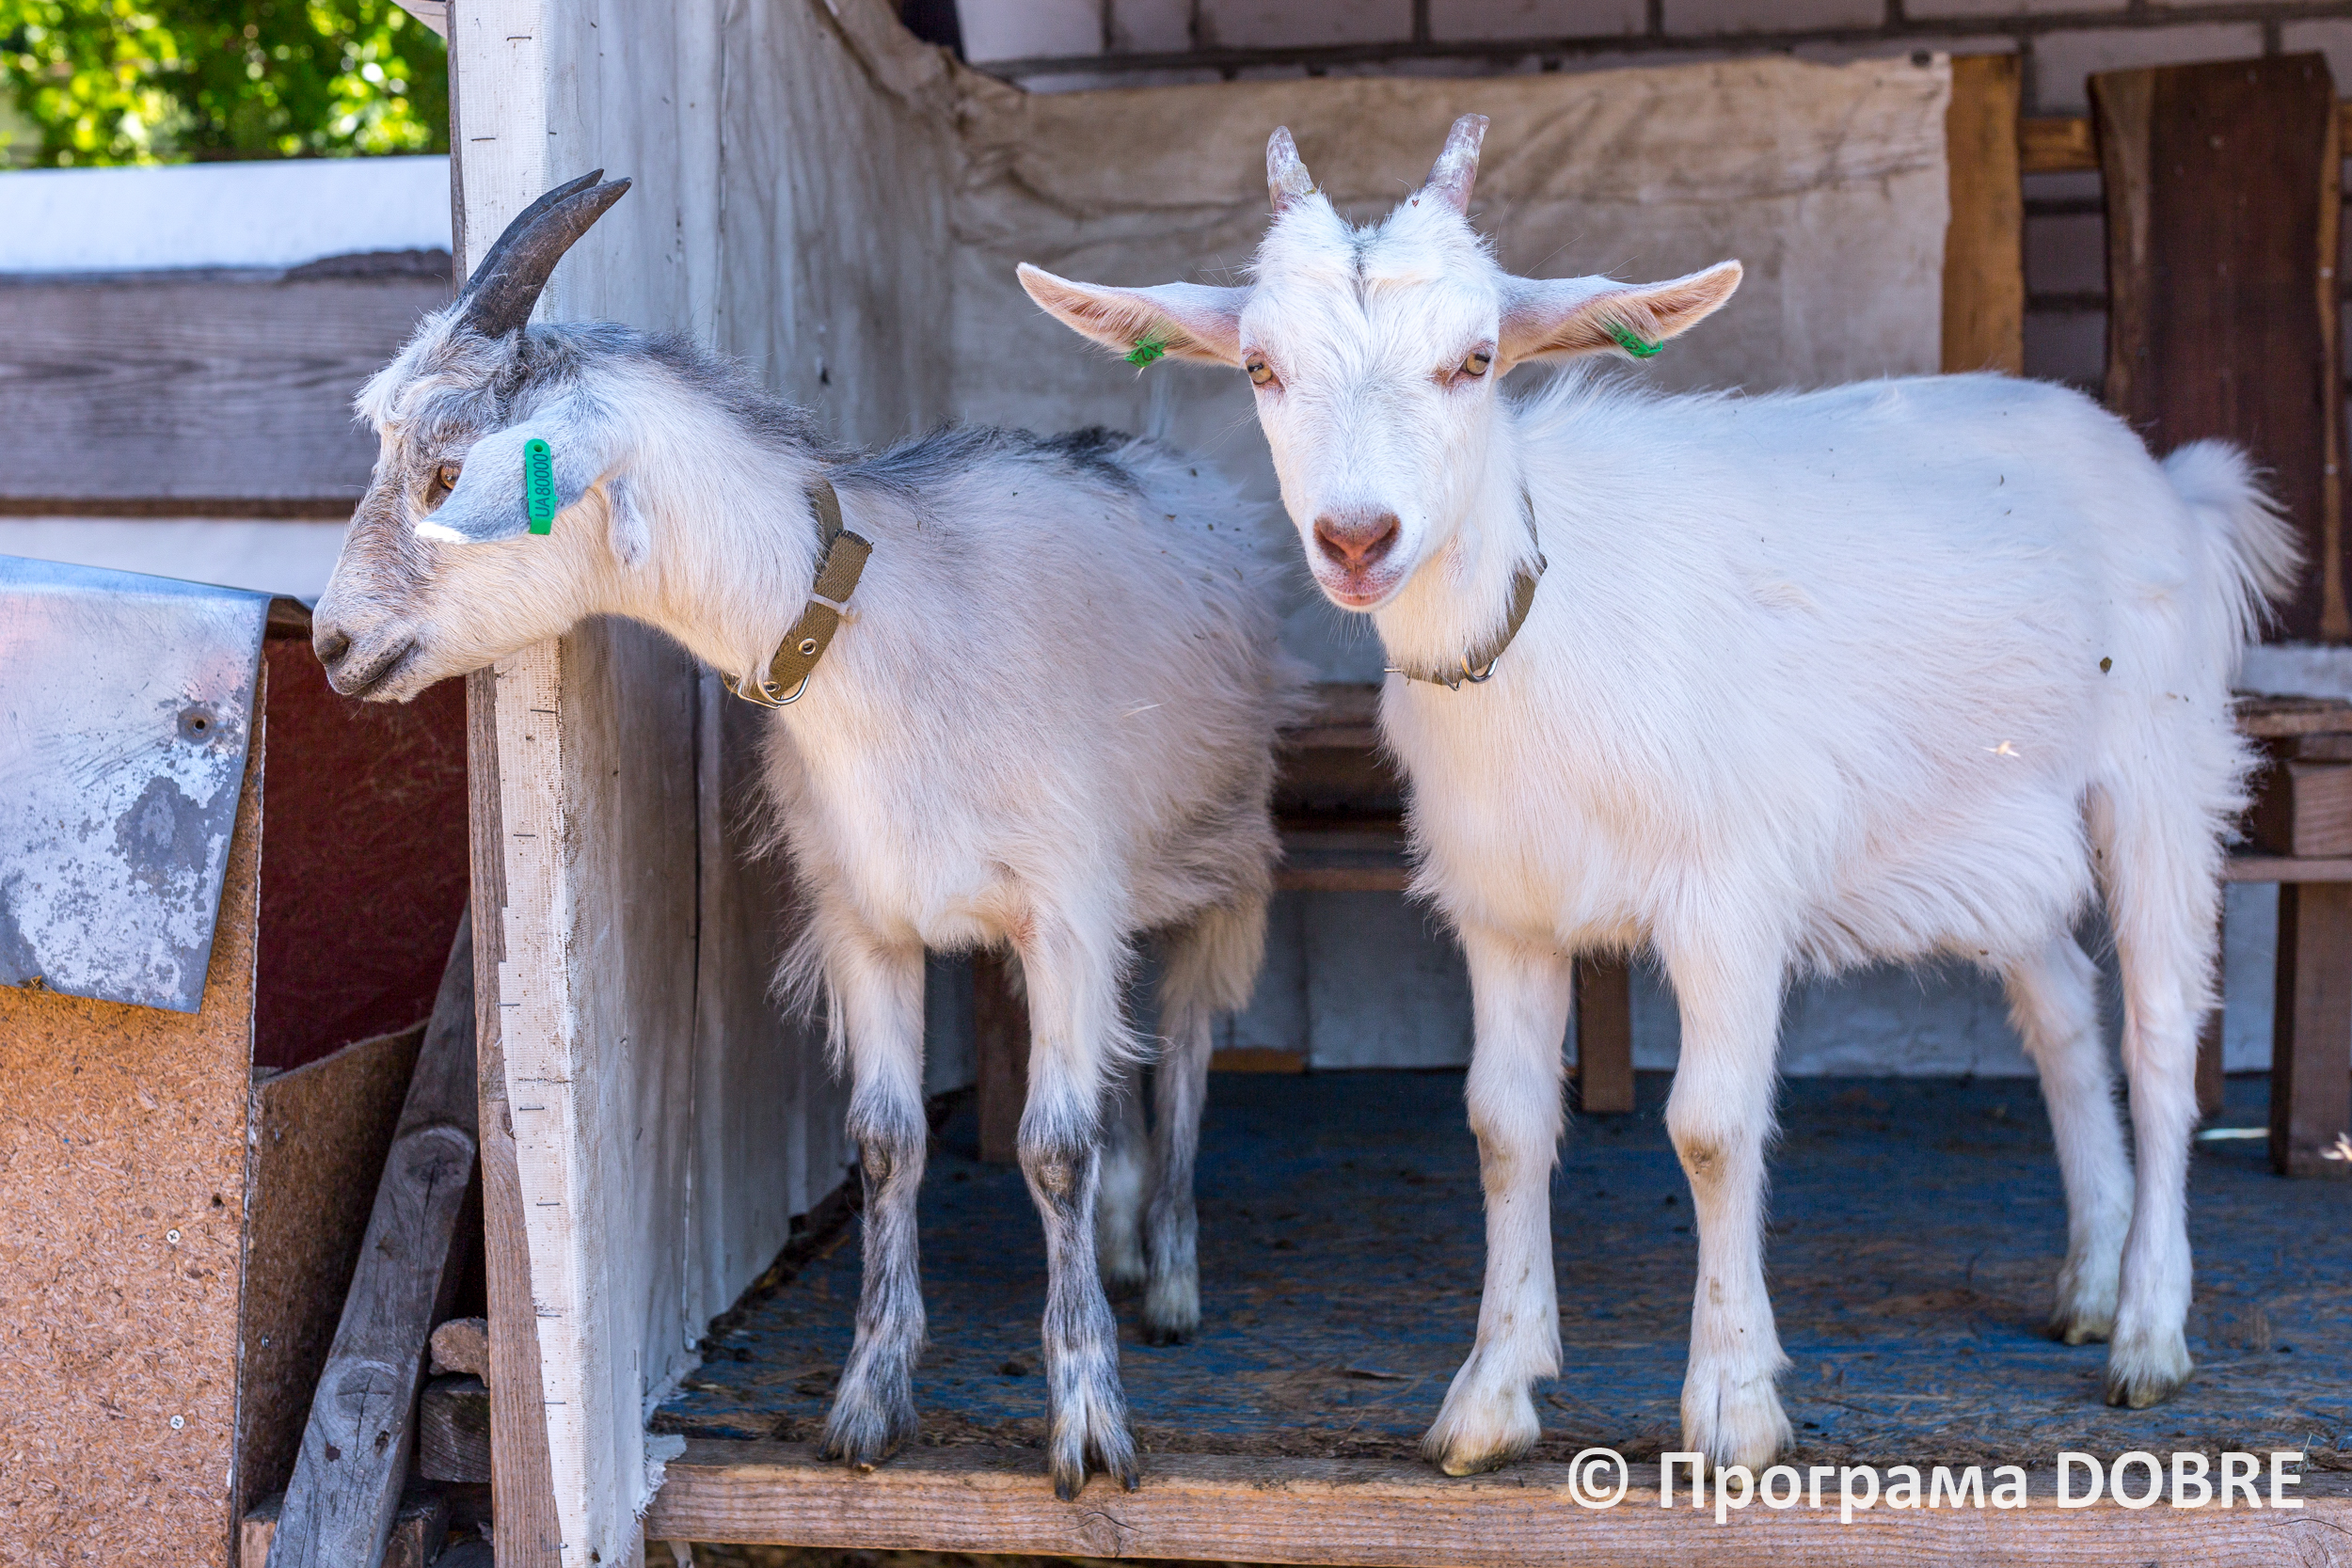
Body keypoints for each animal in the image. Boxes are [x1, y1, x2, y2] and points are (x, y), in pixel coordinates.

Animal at [312, 173, 1306, 1498]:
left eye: (445, 473)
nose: (332, 642)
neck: (885, 636)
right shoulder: (863, 918)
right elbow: (887, 1142)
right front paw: (868, 1400)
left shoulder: (1064, 909)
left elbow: (1052, 1146)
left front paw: (1090, 1423)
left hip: (1223, 852)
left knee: (1190, 1046)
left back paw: (1174, 1275)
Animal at [1021, 116, 2298, 1475]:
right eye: (1261, 366)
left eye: (1476, 359)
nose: (1357, 537)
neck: (1544, 629)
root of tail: (2170, 481)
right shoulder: (1503, 909)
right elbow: (1502, 1122)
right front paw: (1491, 1391)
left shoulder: (1727, 897)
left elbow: (1710, 1125)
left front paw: (1733, 1402)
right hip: (1996, 828)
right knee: (2059, 1010)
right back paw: (2092, 1278)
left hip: (2159, 771)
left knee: (2159, 1034)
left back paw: (2150, 1329)